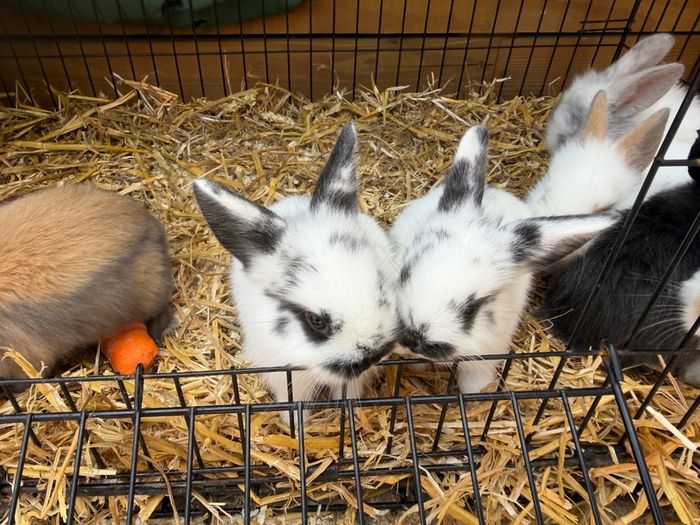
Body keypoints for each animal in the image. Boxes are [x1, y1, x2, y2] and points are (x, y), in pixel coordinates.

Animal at [193, 122, 399, 413]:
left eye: (379, 285)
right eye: (316, 321)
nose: (374, 354)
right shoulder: (286, 376)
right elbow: (293, 402)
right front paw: (290, 420)